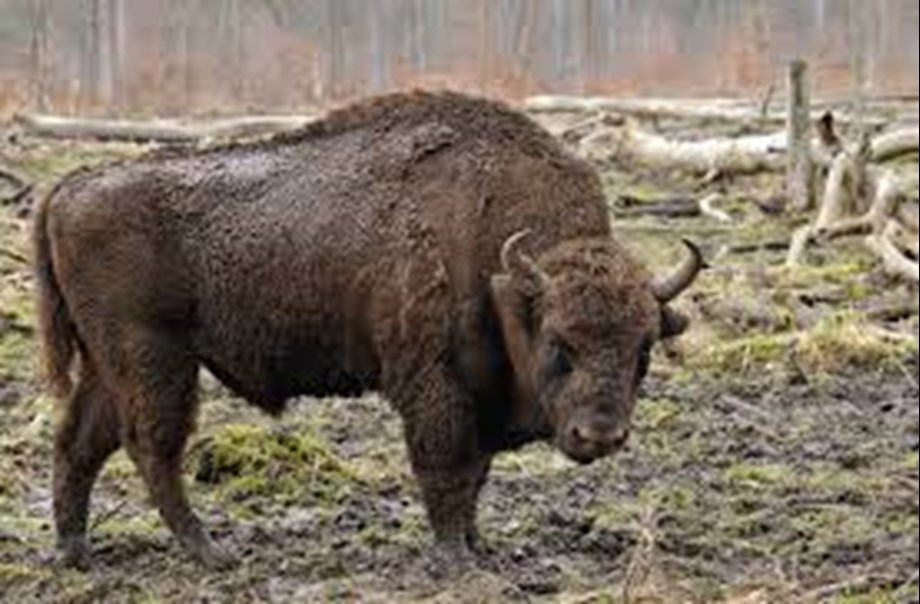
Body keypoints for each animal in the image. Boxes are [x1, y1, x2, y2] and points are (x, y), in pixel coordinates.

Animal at [34, 91, 701, 569]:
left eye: (644, 347)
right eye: (560, 342)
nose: (601, 435)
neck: (503, 275)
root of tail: (70, 186)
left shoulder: (480, 396)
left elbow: (476, 474)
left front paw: (480, 545)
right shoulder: (435, 387)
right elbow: (446, 467)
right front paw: (454, 558)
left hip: (107, 364)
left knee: (79, 442)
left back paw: (75, 553)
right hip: (155, 359)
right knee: (152, 447)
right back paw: (209, 552)